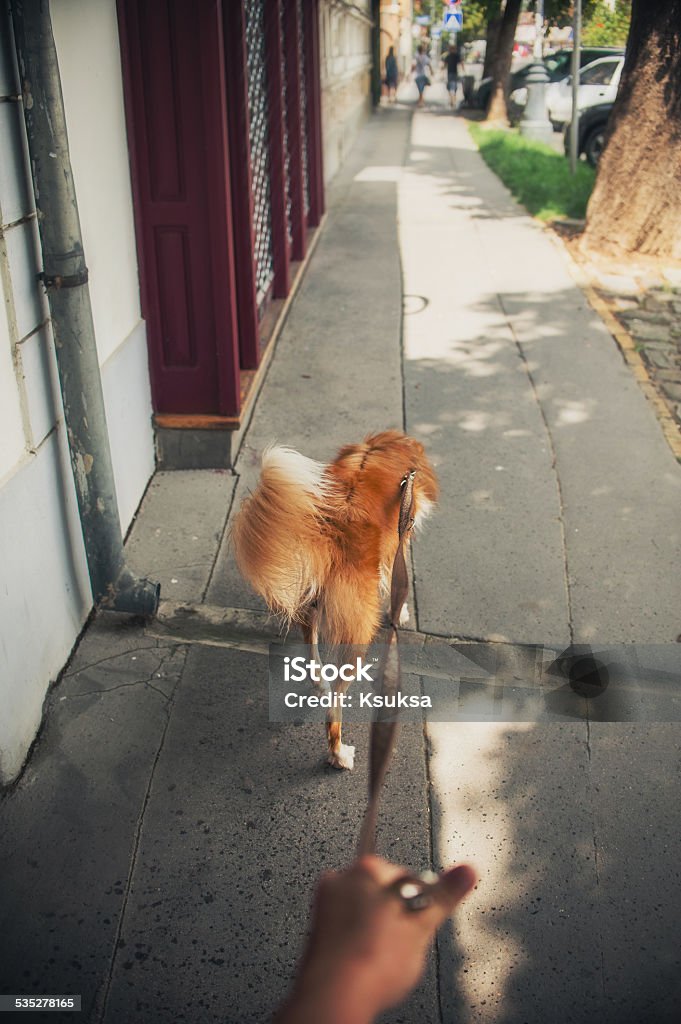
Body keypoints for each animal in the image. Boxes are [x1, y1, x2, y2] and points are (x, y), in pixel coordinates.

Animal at [231, 430, 438, 770]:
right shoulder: (400, 542)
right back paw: (338, 754)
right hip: (357, 634)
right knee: (333, 710)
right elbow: (397, 585)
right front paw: (402, 612)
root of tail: (332, 534)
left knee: (312, 654)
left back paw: (318, 682)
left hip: (311, 609)